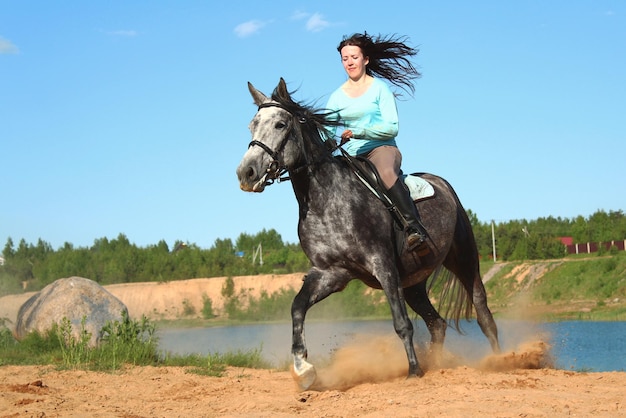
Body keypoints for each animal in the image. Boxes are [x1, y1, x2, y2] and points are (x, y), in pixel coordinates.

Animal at [234, 80, 498, 390]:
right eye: (252, 125)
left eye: (280, 124)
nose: (246, 173)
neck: (326, 199)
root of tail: (440, 182)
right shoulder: (330, 273)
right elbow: (297, 308)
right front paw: (303, 370)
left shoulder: (382, 266)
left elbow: (401, 323)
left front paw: (413, 370)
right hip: (413, 283)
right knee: (437, 324)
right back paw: (436, 364)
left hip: (463, 260)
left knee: (483, 313)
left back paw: (499, 359)